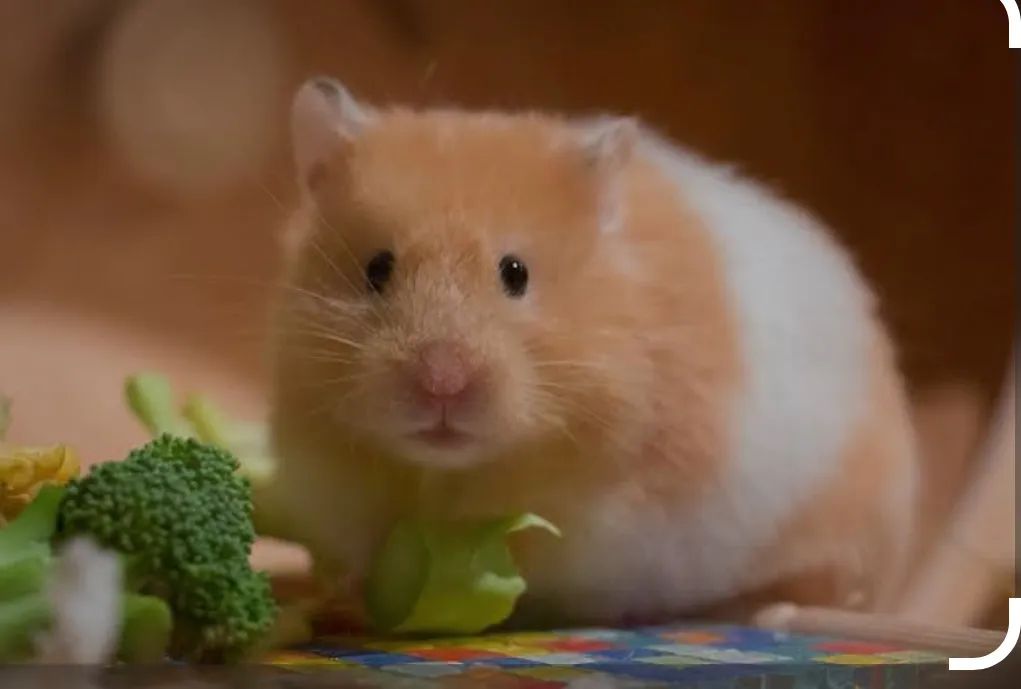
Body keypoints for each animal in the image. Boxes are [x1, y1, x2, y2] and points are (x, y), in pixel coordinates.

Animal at [264, 77, 919, 626]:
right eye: (376, 269)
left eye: (515, 273)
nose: (441, 384)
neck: (450, 476)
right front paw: (357, 594)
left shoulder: (618, 524)